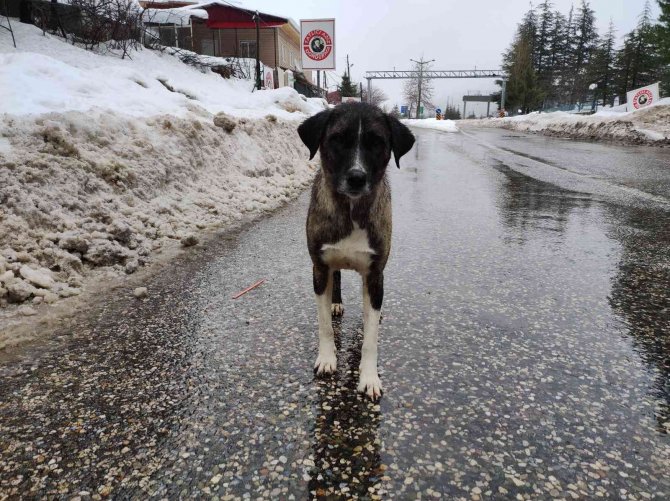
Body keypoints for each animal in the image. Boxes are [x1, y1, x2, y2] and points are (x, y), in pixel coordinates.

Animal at [298, 101, 414, 398]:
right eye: (337, 139)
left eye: (377, 142)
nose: (356, 178)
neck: (351, 210)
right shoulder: (319, 268)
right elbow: (325, 325)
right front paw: (327, 359)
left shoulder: (374, 274)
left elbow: (370, 338)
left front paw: (369, 377)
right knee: (337, 277)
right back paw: (337, 302)